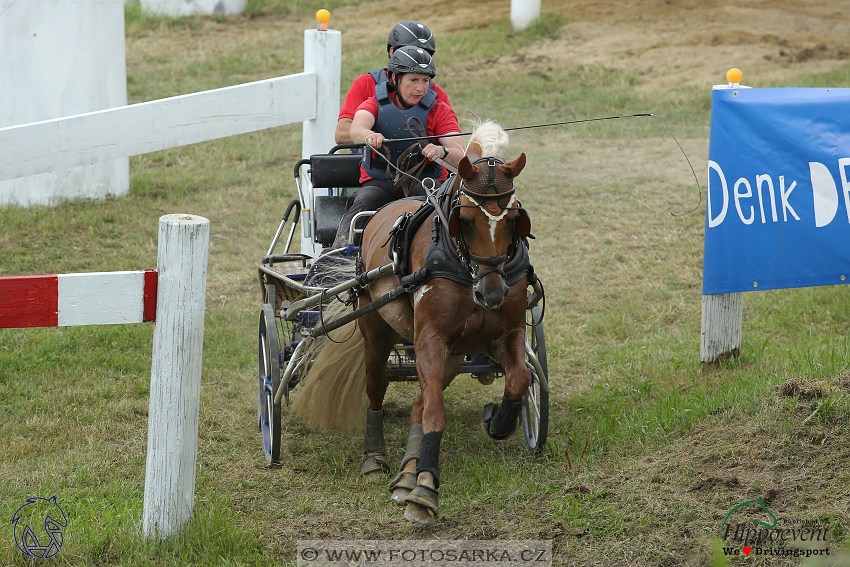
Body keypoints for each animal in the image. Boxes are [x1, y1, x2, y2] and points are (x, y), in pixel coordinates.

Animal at [292, 121, 528, 528]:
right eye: (466, 220)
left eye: (514, 220)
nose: (493, 292)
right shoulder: (430, 337)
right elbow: (435, 412)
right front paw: (426, 489)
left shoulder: (505, 334)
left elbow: (519, 380)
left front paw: (497, 421)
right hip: (377, 330)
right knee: (377, 388)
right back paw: (377, 459)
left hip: (452, 352)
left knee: (421, 399)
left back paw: (407, 471)